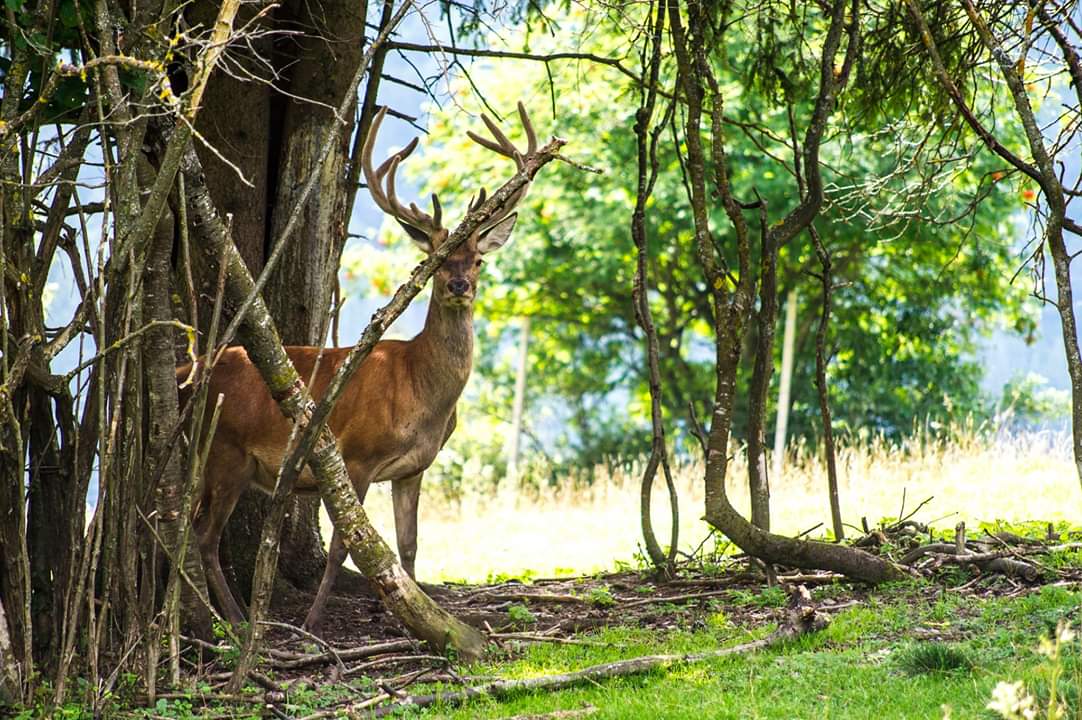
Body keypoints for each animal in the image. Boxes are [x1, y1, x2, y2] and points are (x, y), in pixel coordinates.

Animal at [179, 103, 538, 632]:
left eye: (477, 260)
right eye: (436, 261)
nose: (459, 286)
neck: (421, 392)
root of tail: (185, 374)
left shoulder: (413, 469)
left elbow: (409, 547)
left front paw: (413, 615)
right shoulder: (355, 456)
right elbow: (343, 548)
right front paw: (313, 622)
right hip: (225, 448)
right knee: (204, 535)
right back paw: (237, 618)